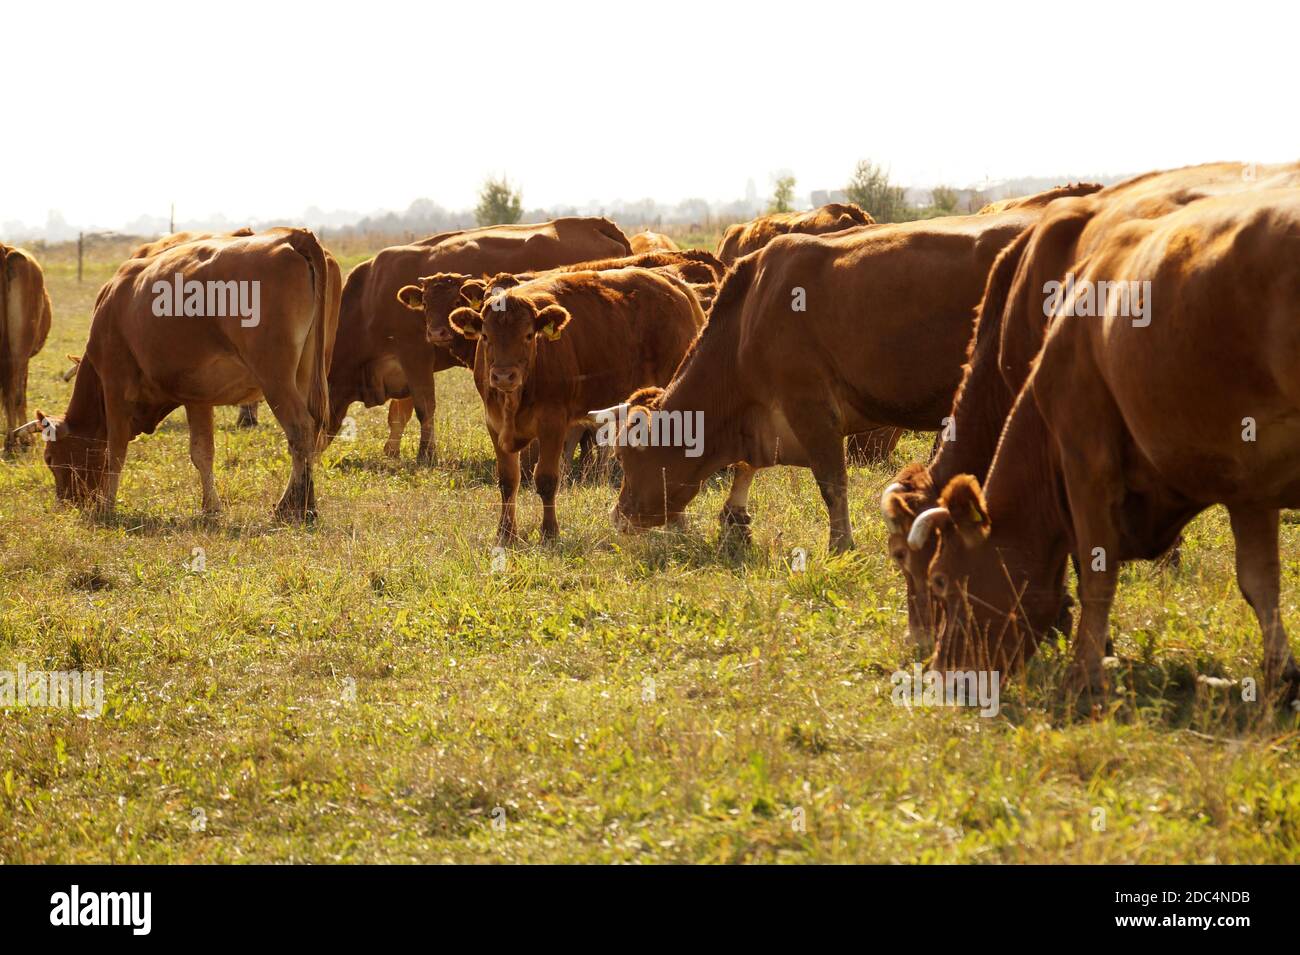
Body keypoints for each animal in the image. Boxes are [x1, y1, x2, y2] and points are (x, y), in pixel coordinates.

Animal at [14, 229, 334, 519]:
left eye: (50, 458)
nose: (66, 504)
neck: (116, 303)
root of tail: (292, 236)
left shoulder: (114, 385)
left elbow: (115, 450)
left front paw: (106, 506)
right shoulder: (197, 397)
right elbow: (202, 453)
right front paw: (210, 507)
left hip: (275, 380)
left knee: (300, 430)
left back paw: (292, 507)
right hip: (301, 377)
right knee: (309, 435)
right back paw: (306, 503)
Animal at [325, 217, 632, 465]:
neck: (368, 298)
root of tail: (593, 224)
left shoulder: (415, 355)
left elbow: (425, 408)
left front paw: (426, 455)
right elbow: (399, 414)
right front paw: (392, 453)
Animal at [446, 267, 705, 543]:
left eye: (528, 335)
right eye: (485, 336)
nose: (504, 376)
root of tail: (670, 282)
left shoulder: (553, 423)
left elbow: (546, 479)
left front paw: (549, 533)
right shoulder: (494, 424)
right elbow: (507, 480)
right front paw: (505, 534)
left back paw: (676, 521)